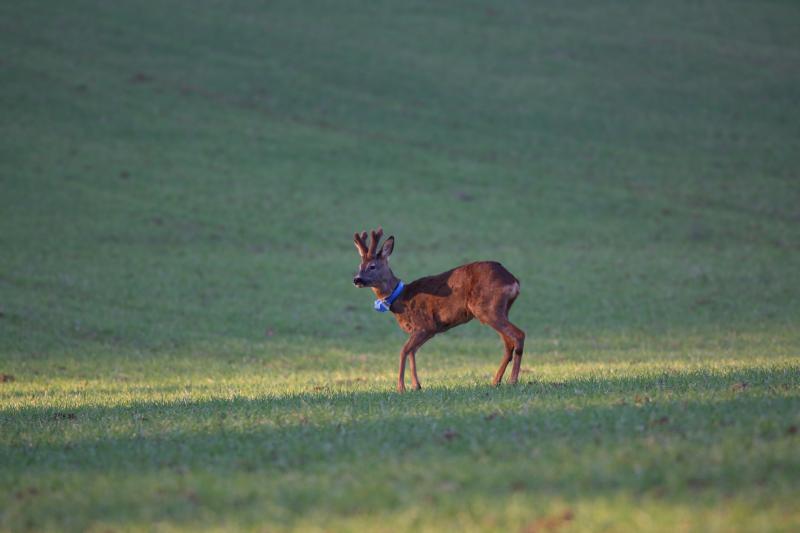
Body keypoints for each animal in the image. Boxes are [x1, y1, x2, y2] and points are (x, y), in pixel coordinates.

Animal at [353, 228, 525, 392]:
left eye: (372, 266)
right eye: (359, 266)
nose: (356, 279)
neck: (401, 298)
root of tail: (513, 281)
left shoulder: (425, 325)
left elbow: (404, 351)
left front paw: (401, 387)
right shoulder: (427, 330)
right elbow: (412, 352)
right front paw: (416, 386)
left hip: (487, 308)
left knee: (518, 335)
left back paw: (512, 380)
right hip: (500, 309)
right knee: (508, 344)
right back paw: (496, 381)